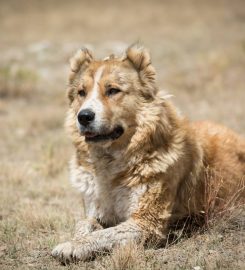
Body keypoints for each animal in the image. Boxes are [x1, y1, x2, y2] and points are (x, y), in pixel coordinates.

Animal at [50, 44, 244, 264]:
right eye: (81, 93)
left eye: (113, 90)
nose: (83, 116)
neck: (111, 165)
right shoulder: (95, 211)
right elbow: (84, 224)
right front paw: (75, 240)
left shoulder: (146, 222)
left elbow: (104, 234)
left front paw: (72, 246)